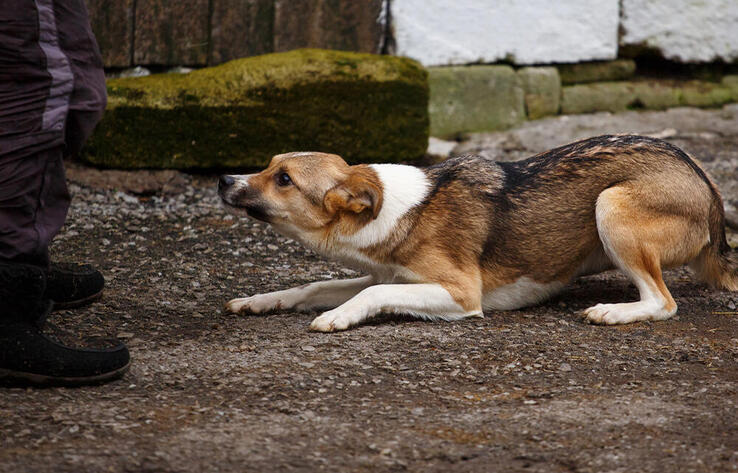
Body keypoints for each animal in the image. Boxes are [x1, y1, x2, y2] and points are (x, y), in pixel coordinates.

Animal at [217, 135, 736, 330]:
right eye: (268, 165)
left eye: (285, 180)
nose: (222, 179)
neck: (402, 210)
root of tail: (712, 195)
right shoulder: (387, 274)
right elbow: (313, 286)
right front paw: (259, 301)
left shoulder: (461, 293)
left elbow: (367, 294)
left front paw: (338, 317)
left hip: (611, 205)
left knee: (663, 303)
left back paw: (614, 311)